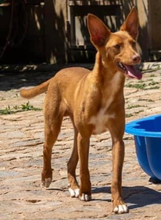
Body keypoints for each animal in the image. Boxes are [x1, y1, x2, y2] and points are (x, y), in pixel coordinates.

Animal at [20, 7, 142, 214]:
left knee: (70, 162)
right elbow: (84, 168)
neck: (107, 88)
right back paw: (47, 177)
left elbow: (116, 176)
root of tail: (57, 74)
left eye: (133, 43)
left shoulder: (117, 139)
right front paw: (86, 192)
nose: (137, 57)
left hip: (76, 133)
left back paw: (74, 187)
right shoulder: (85, 137)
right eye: (117, 46)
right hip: (55, 126)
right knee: (46, 148)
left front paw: (118, 202)